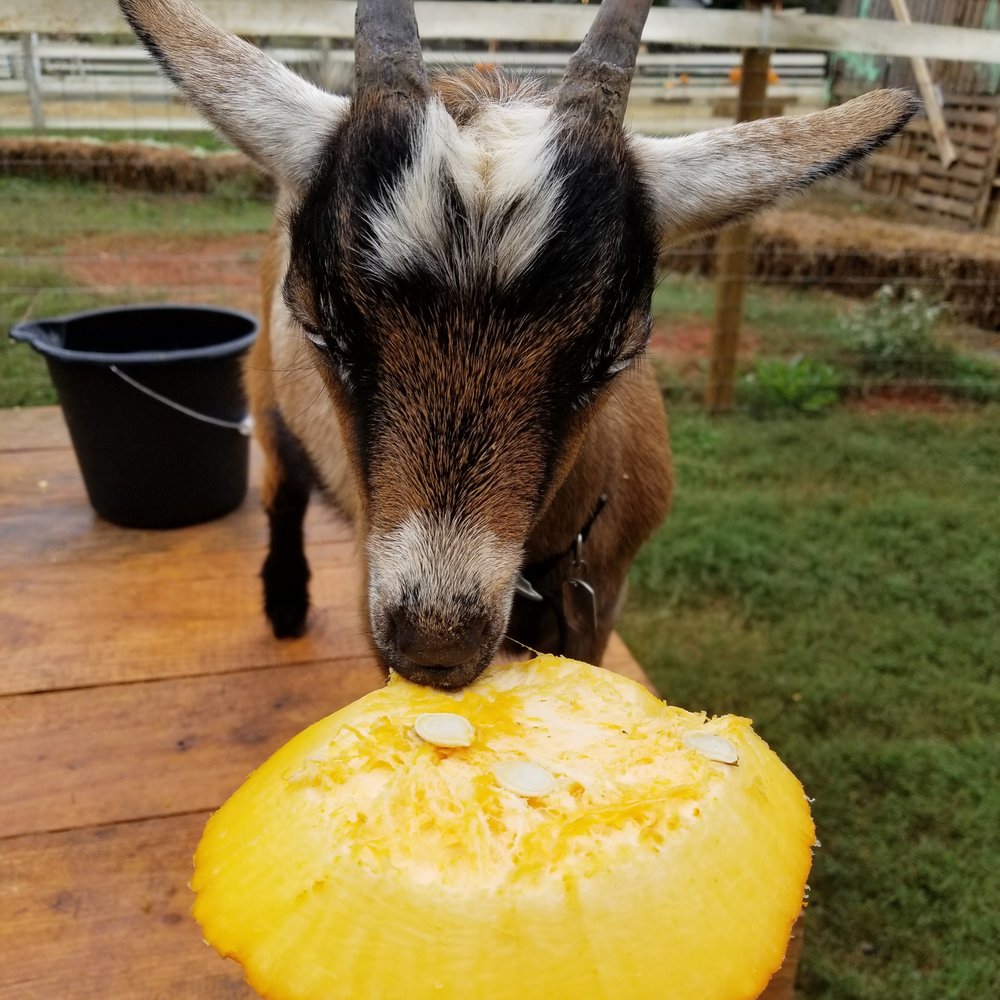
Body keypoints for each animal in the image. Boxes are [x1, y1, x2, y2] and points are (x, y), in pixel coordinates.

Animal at [120, 0, 917, 689]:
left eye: (613, 355)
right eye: (321, 327)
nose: (436, 645)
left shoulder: (601, 602)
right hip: (265, 394)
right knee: (282, 489)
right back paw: (284, 603)